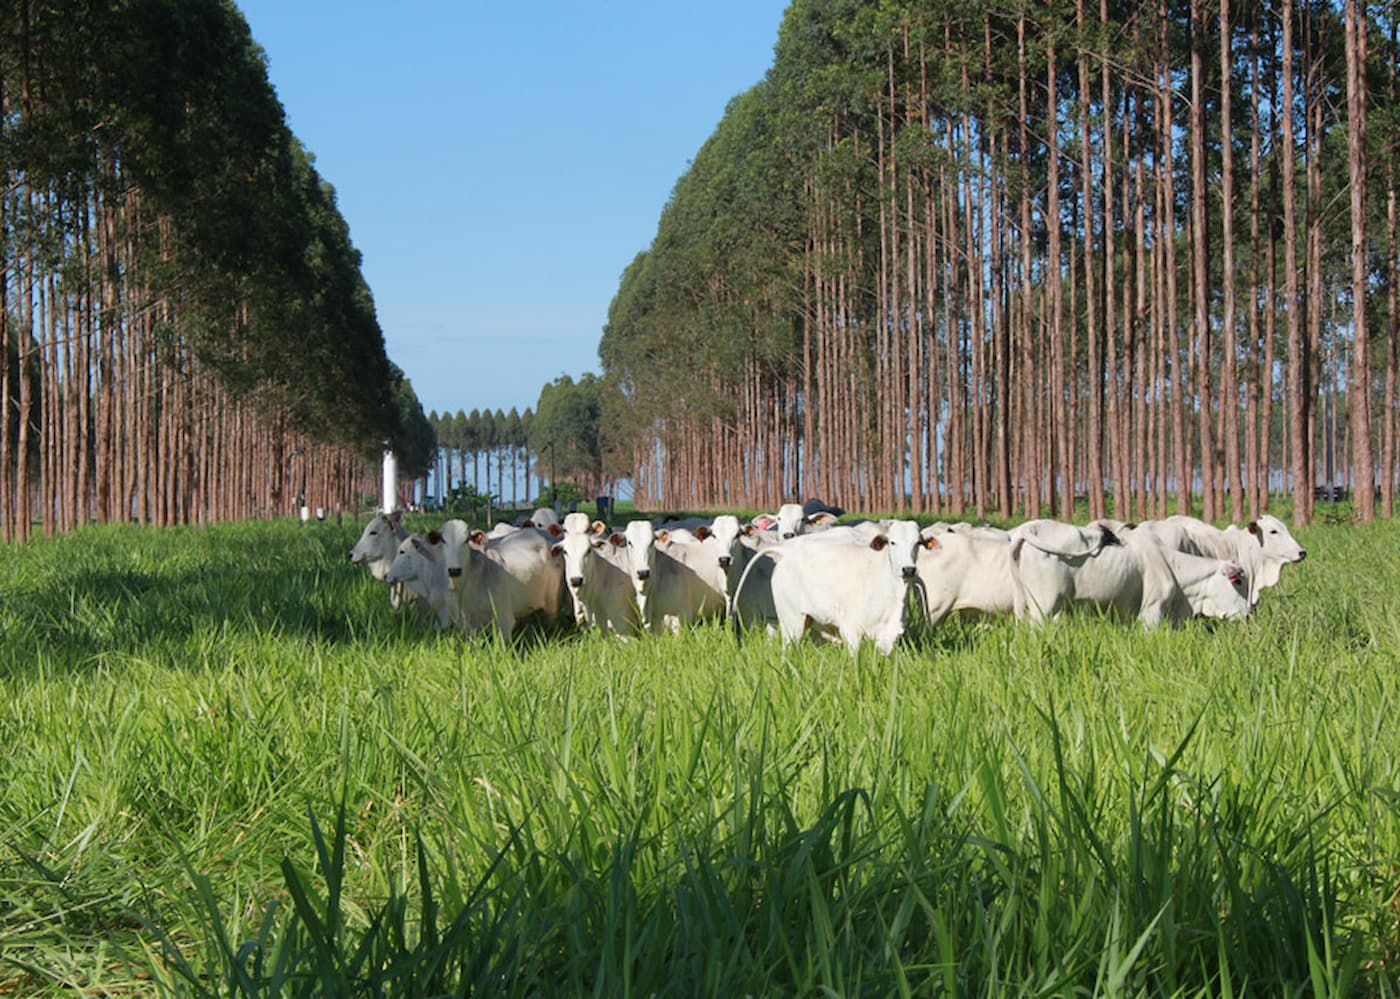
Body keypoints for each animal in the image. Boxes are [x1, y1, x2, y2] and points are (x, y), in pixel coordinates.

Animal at [739, 520, 935, 654]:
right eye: (892, 542)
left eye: (918, 543)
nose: (908, 569)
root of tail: (785, 551)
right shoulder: (851, 630)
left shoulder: (887, 636)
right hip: (791, 622)